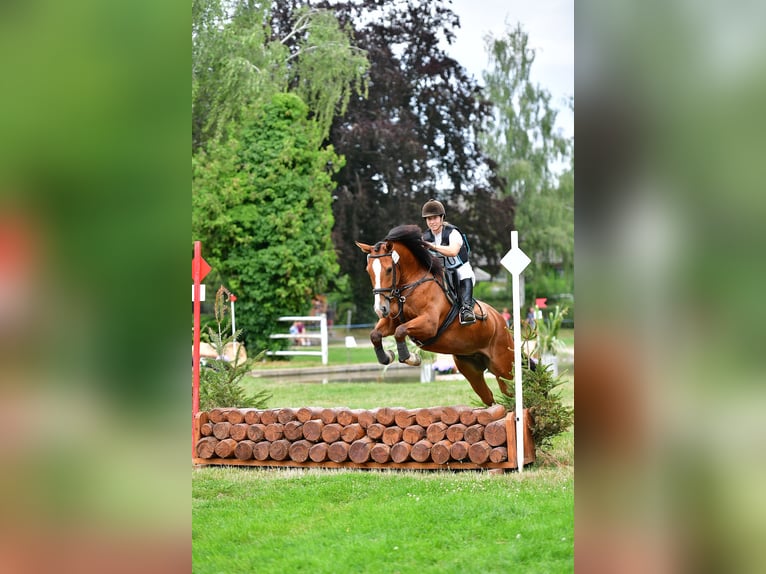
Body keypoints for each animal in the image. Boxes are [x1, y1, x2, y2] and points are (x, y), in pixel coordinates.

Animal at [356, 223, 516, 408]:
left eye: (389, 269)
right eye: (368, 270)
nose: (380, 309)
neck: (411, 285)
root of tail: (501, 321)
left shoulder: (429, 324)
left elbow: (400, 331)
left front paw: (411, 358)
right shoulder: (392, 321)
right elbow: (375, 334)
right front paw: (387, 356)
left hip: (503, 366)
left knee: (510, 390)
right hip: (470, 366)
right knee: (488, 396)